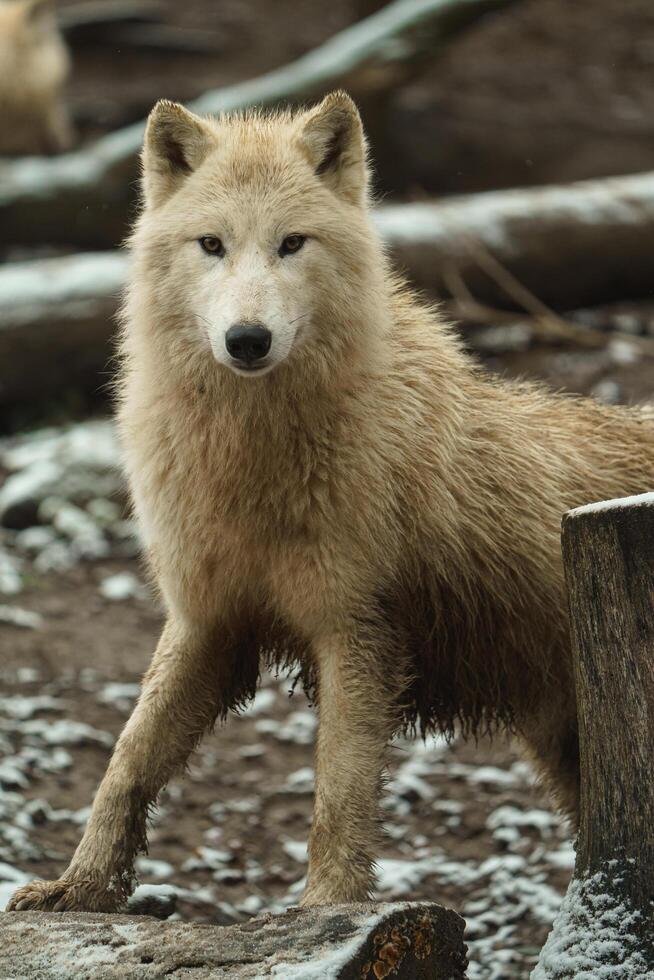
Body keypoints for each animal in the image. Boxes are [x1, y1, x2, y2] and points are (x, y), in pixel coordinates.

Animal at [9, 90, 654, 912]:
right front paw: (81, 886)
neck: (253, 465)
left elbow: (337, 793)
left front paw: (327, 910)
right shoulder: (207, 621)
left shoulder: (354, 630)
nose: (247, 339)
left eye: (292, 244)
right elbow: (125, 763)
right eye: (211, 245)